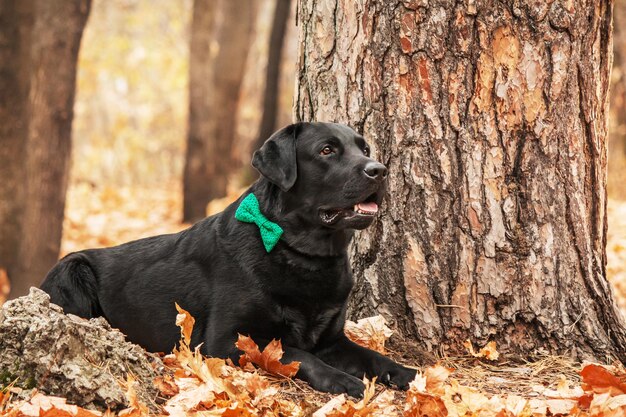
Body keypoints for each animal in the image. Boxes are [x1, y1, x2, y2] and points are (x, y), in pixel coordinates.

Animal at [41, 122, 416, 394]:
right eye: (327, 150)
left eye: (364, 149)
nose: (379, 170)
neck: (301, 253)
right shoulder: (225, 341)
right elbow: (298, 354)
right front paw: (343, 380)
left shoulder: (332, 339)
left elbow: (372, 355)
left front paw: (408, 373)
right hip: (72, 269)